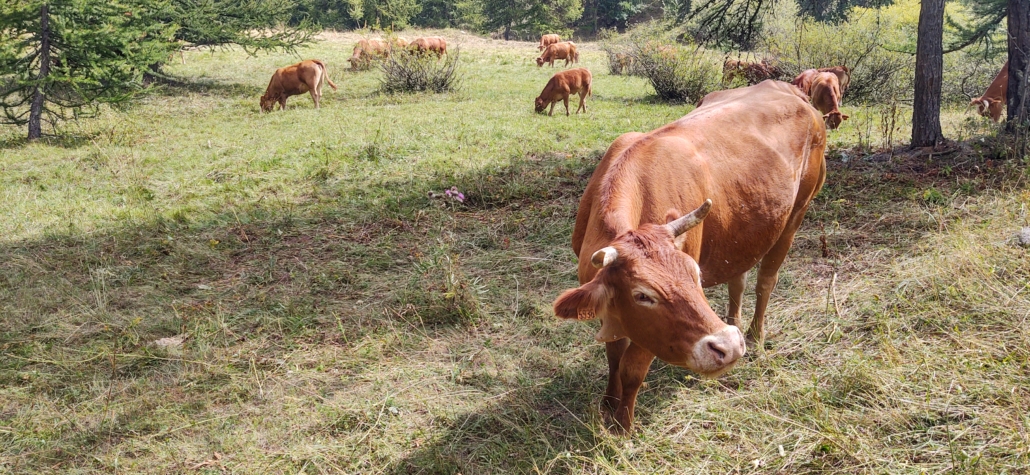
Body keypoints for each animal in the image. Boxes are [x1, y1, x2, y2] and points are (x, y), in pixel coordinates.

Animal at [556, 79, 828, 430]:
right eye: (642, 295)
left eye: (696, 275)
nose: (728, 346)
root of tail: (787, 88)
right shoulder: (610, 305)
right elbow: (614, 354)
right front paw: (607, 405)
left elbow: (632, 369)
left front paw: (623, 427)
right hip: (743, 229)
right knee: (738, 280)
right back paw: (736, 325)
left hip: (797, 213)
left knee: (766, 280)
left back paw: (754, 337)